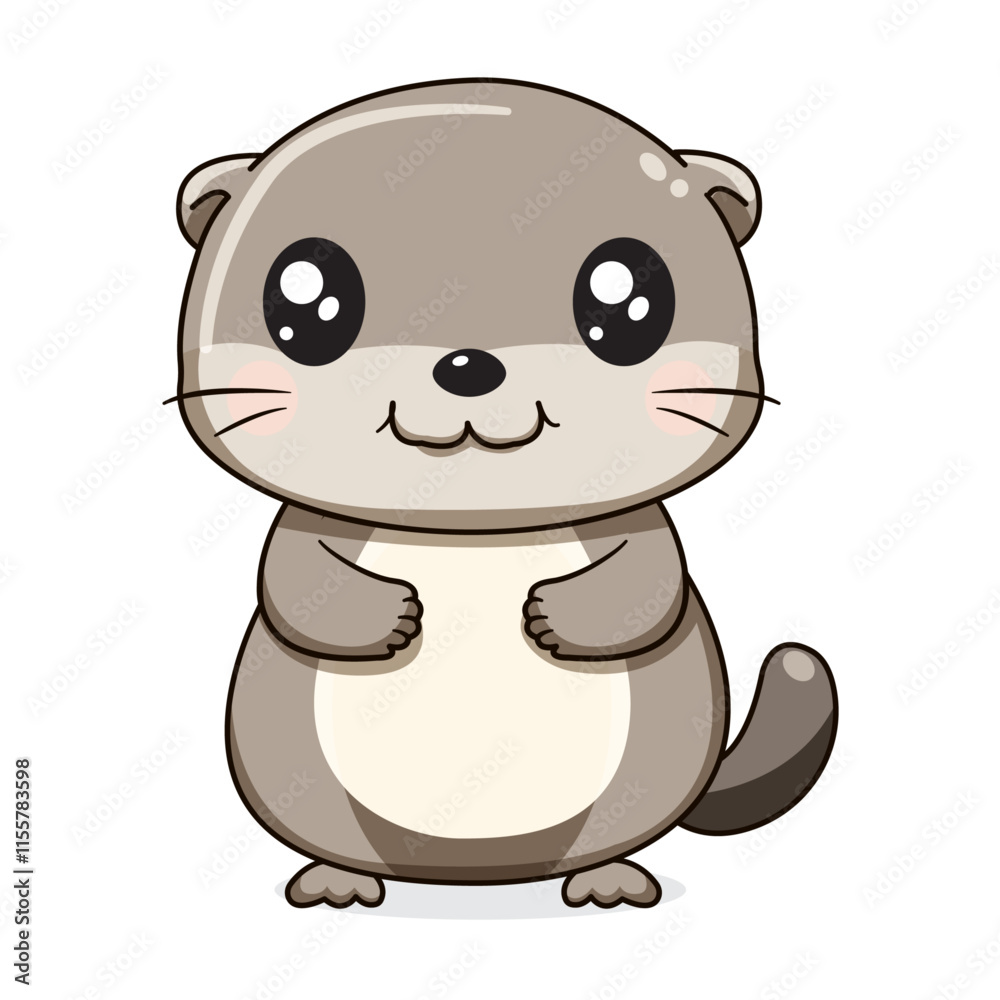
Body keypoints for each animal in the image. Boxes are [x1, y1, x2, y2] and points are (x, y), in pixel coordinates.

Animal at [172, 79, 837, 909]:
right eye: (304, 298)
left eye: (630, 299)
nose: (467, 365)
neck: (472, 525)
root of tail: (474, 870)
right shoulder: (302, 528)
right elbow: (293, 580)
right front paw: (393, 614)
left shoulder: (642, 528)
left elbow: (651, 584)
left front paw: (552, 613)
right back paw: (338, 879)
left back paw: (607, 879)